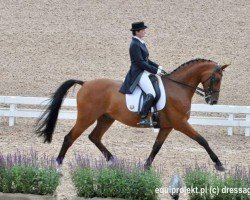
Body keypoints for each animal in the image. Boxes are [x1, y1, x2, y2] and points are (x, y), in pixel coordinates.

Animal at [36, 58, 229, 172]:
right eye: (216, 79)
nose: (213, 101)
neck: (178, 87)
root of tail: (85, 83)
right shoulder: (180, 123)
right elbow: (202, 140)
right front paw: (219, 164)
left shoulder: (167, 126)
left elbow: (156, 147)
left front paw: (146, 166)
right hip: (86, 117)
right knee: (70, 137)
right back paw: (58, 164)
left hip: (106, 118)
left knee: (95, 137)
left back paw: (113, 160)